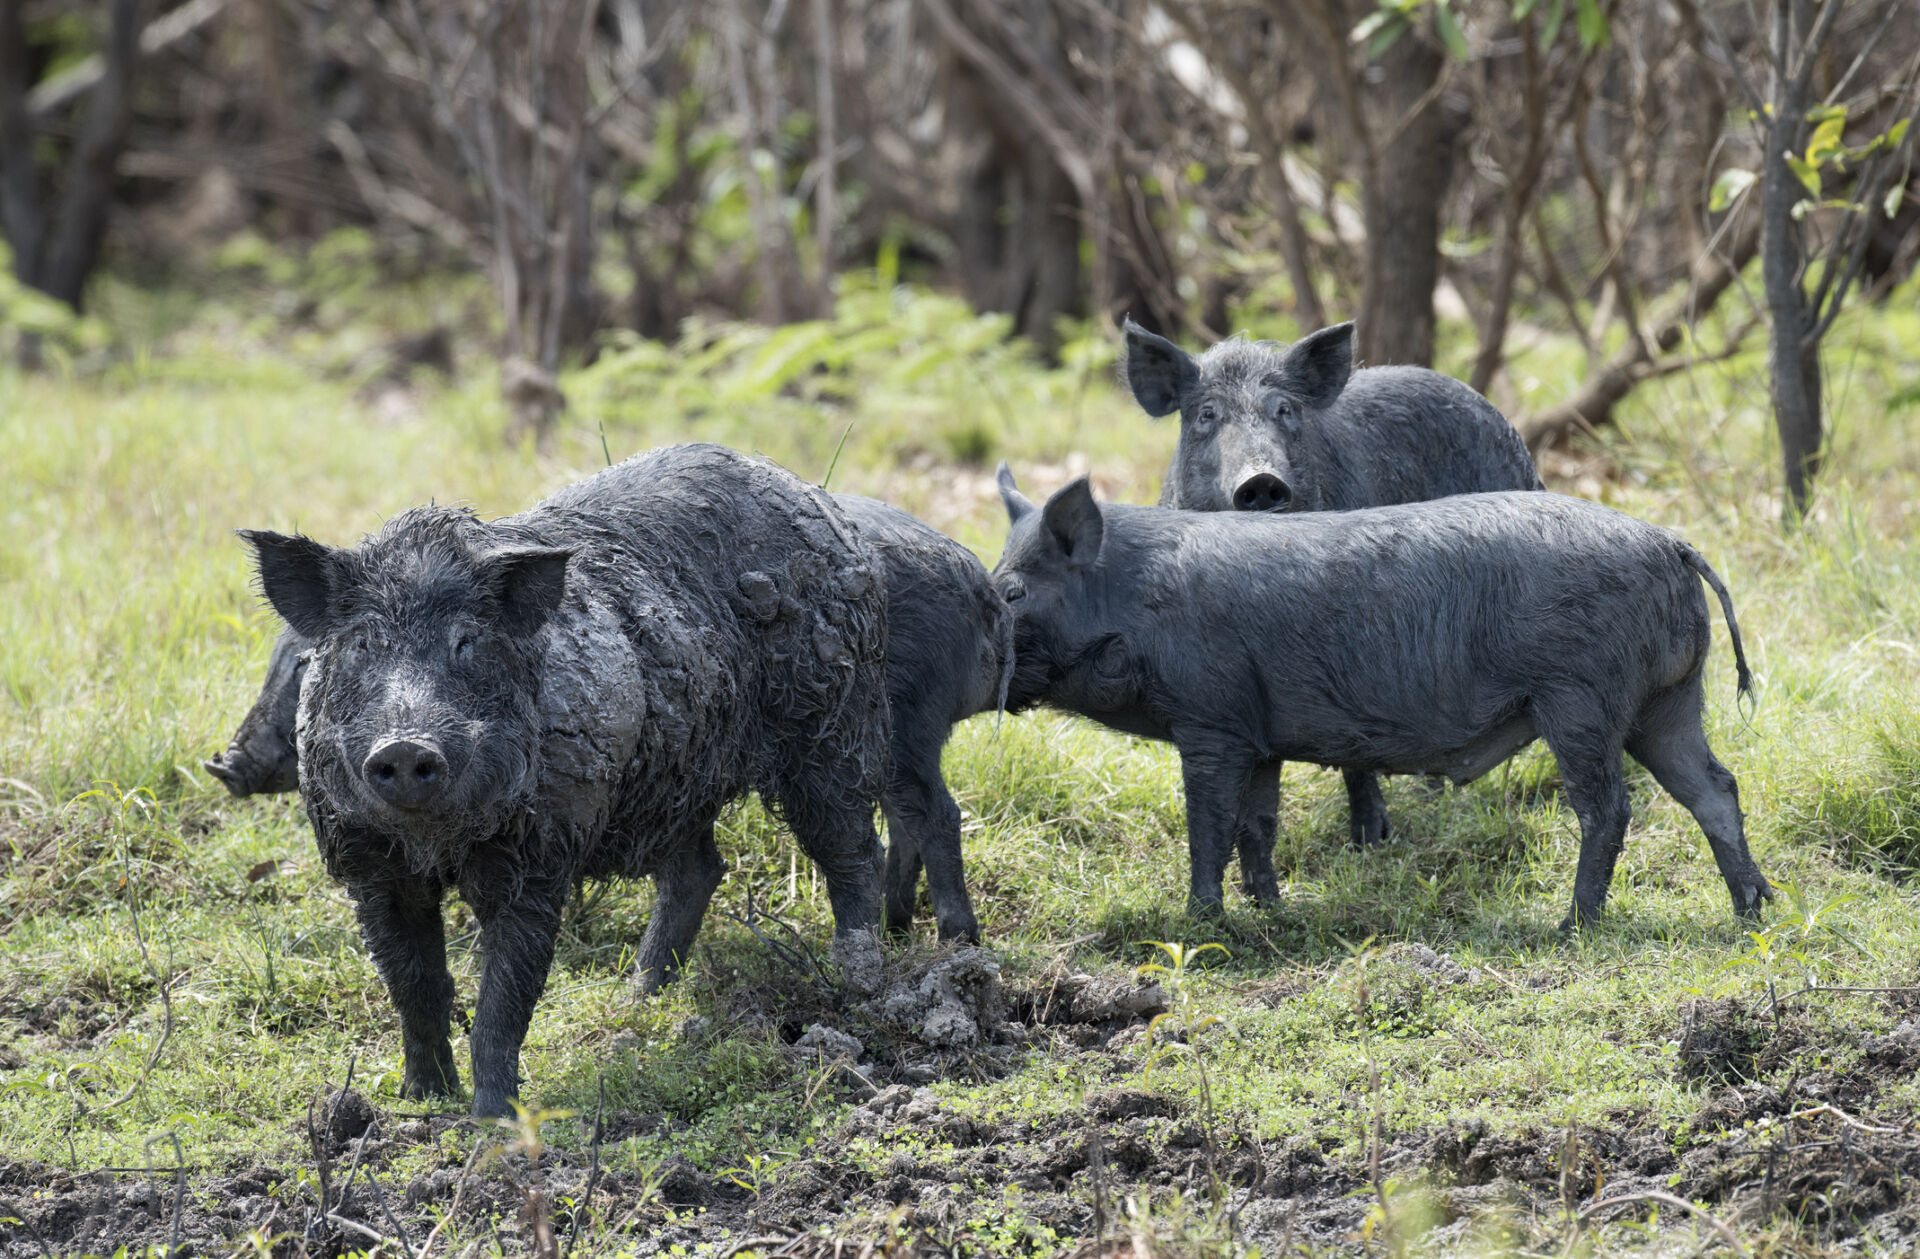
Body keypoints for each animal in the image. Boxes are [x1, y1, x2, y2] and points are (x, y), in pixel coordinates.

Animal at [216, 491, 1013, 944]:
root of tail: (978, 582)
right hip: (693, 766)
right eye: (336, 655)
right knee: (703, 868)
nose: (223, 763)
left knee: (918, 818)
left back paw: (940, 944)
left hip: (871, 730)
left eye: (301, 666)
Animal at [240, 447, 890, 1113]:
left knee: (853, 848)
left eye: (467, 641)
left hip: (830, 723)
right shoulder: (368, 866)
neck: (436, 845)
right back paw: (640, 999)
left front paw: (493, 1121)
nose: (404, 745)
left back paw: (861, 984)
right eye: (363, 643)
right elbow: (415, 989)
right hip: (680, 778)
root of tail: (814, 498)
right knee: (700, 869)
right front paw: (421, 1100)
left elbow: (503, 1002)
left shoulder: (539, 858)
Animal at [998, 466, 1774, 928]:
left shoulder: (1209, 721)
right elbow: (1257, 826)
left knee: (1609, 807)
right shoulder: (1257, 736)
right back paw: (1754, 908)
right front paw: (1271, 911)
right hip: (1666, 702)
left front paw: (1200, 923)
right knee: (1716, 786)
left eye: (1011, 591)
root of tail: (1669, 542)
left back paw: (1571, 926)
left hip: (1580, 700)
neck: (1134, 602)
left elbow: (1208, 826)